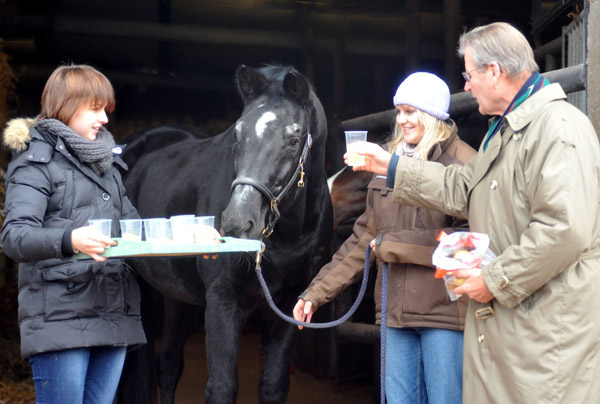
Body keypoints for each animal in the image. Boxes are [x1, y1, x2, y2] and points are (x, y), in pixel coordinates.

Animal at [117, 64, 332, 402]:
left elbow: (273, 386)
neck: (288, 236)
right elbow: (221, 387)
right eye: (238, 134)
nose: (236, 222)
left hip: (179, 296)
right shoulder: (223, 298)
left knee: (168, 364)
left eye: (294, 139)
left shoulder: (290, 303)